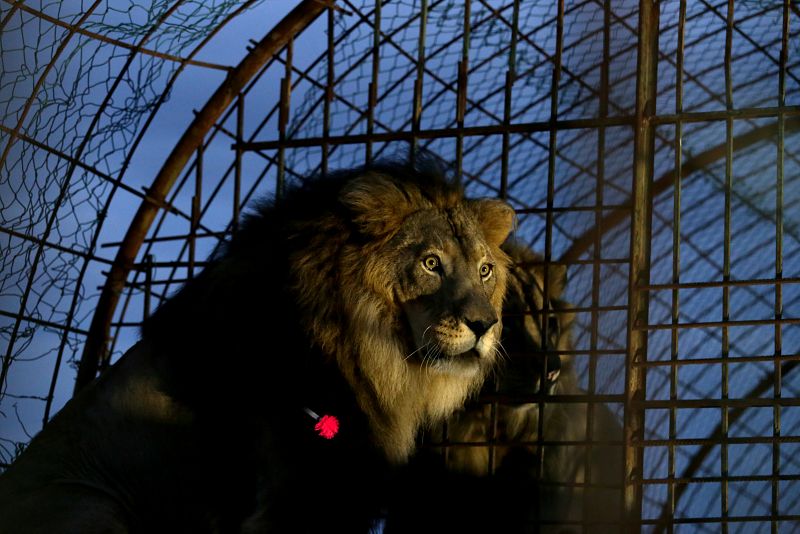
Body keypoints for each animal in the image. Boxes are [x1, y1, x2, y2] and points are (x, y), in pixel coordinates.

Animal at [0, 159, 515, 533]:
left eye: (485, 270)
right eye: (431, 263)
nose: (484, 325)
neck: (371, 355)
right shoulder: (298, 492)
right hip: (88, 502)